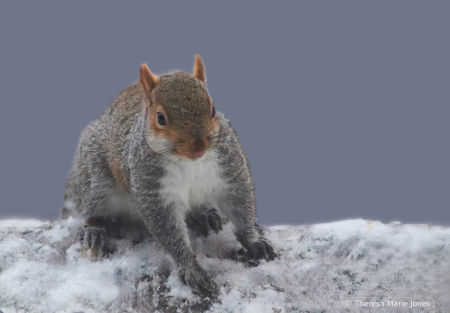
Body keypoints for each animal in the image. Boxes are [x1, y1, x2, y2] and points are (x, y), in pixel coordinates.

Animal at [61, 55, 276, 294]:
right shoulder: (154, 190)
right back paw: (95, 230)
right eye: (161, 118)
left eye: (212, 109)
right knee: (90, 209)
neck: (189, 162)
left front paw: (254, 241)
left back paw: (207, 213)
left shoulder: (230, 171)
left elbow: (241, 207)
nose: (198, 148)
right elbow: (169, 230)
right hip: (94, 182)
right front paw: (191, 269)